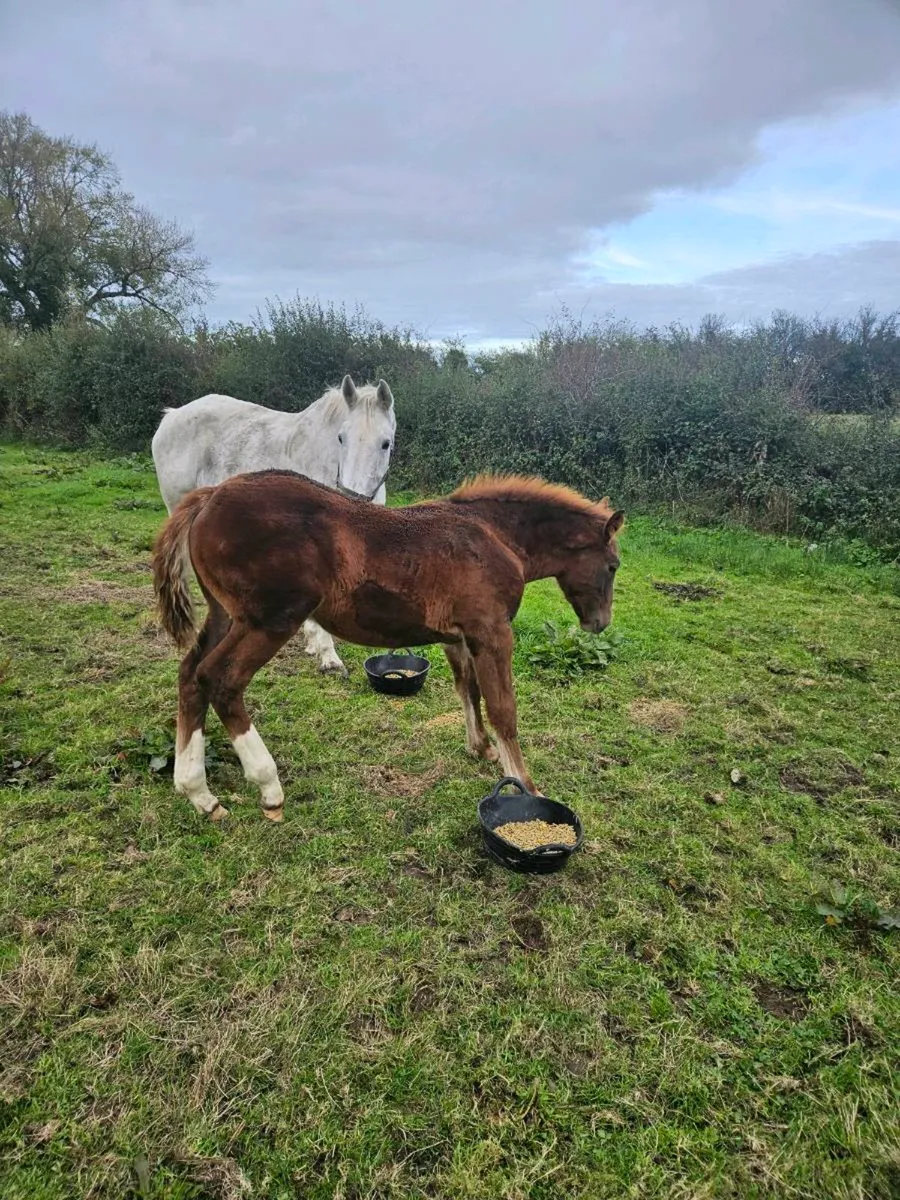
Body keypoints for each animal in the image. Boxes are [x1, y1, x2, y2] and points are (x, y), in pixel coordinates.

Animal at [152, 469, 624, 821]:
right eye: (613, 565)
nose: (599, 623)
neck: (493, 535)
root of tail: (209, 497)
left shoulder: (459, 638)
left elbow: (468, 690)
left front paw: (481, 748)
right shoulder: (492, 633)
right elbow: (503, 708)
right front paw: (526, 785)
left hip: (225, 615)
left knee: (191, 675)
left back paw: (199, 793)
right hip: (270, 621)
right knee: (221, 679)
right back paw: (268, 786)